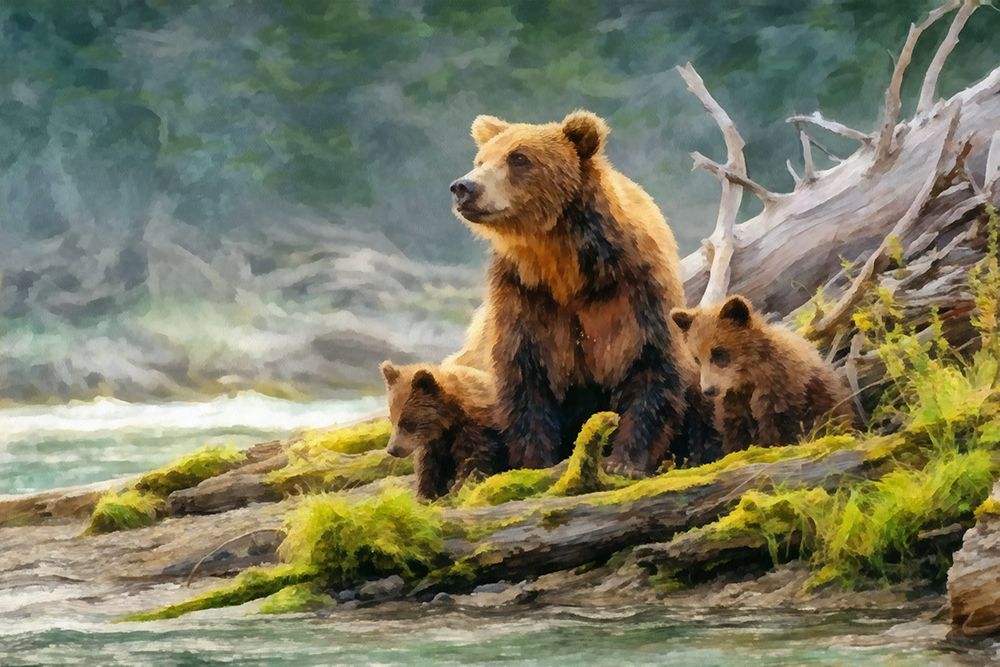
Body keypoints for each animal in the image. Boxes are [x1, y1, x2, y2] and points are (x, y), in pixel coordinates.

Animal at [380, 361, 506, 500]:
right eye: (392, 419)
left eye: (407, 422)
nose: (392, 449)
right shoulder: (434, 443)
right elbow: (428, 467)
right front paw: (426, 494)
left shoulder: (473, 430)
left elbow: (473, 461)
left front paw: (460, 488)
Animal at [448, 110, 704, 477]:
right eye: (481, 159)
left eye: (518, 158)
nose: (464, 187)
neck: (565, 268)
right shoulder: (523, 296)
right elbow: (524, 378)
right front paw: (537, 462)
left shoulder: (632, 290)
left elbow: (649, 364)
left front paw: (623, 461)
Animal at [670, 295, 855, 453]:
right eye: (696, 358)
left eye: (719, 353)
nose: (709, 390)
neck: (747, 378)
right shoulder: (733, 401)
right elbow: (735, 431)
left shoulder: (779, 388)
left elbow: (777, 424)